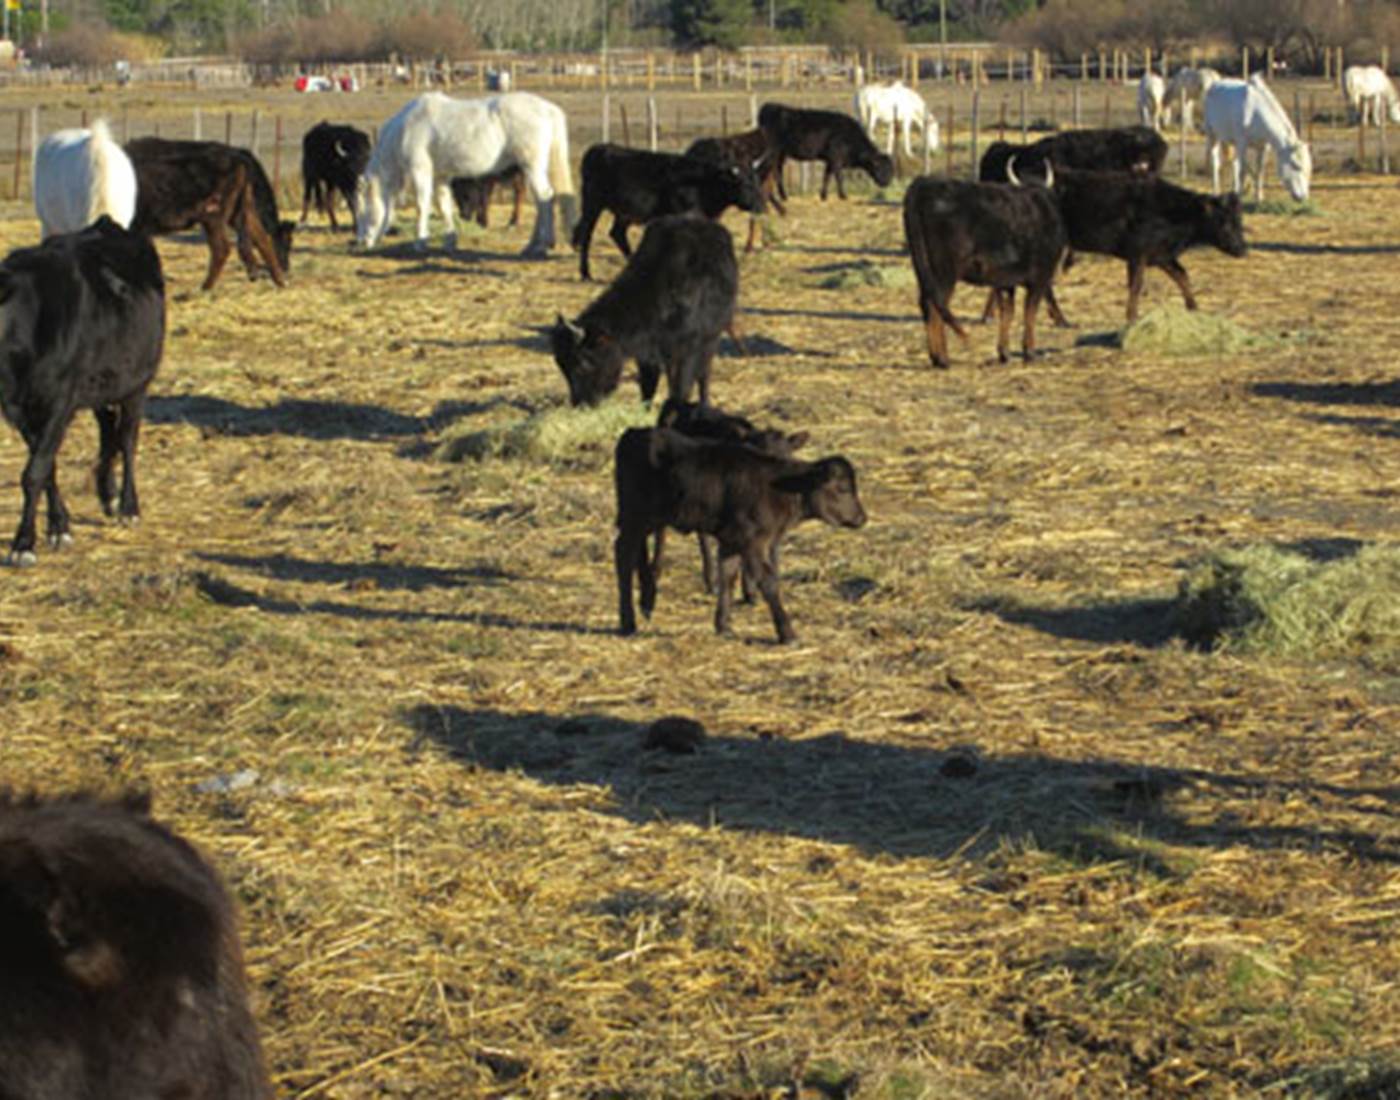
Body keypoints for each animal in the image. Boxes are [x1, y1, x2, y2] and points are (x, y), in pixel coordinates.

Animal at [355, 91, 575, 258]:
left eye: (365, 210)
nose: (362, 241)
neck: (407, 127)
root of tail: (547, 109)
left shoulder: (420, 170)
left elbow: (421, 205)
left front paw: (420, 242)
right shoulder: (440, 176)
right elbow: (444, 205)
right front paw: (450, 241)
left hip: (531, 167)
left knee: (545, 198)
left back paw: (541, 245)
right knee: (543, 200)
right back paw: (534, 245)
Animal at [1204, 75, 1312, 203]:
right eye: (1296, 166)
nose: (1303, 197)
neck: (1255, 112)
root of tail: (1214, 85)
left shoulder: (1263, 147)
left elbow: (1259, 170)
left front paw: (1258, 198)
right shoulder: (1242, 143)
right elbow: (1242, 171)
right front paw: (1241, 197)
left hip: (1232, 142)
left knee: (1234, 163)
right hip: (1212, 135)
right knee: (1216, 162)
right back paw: (1216, 191)